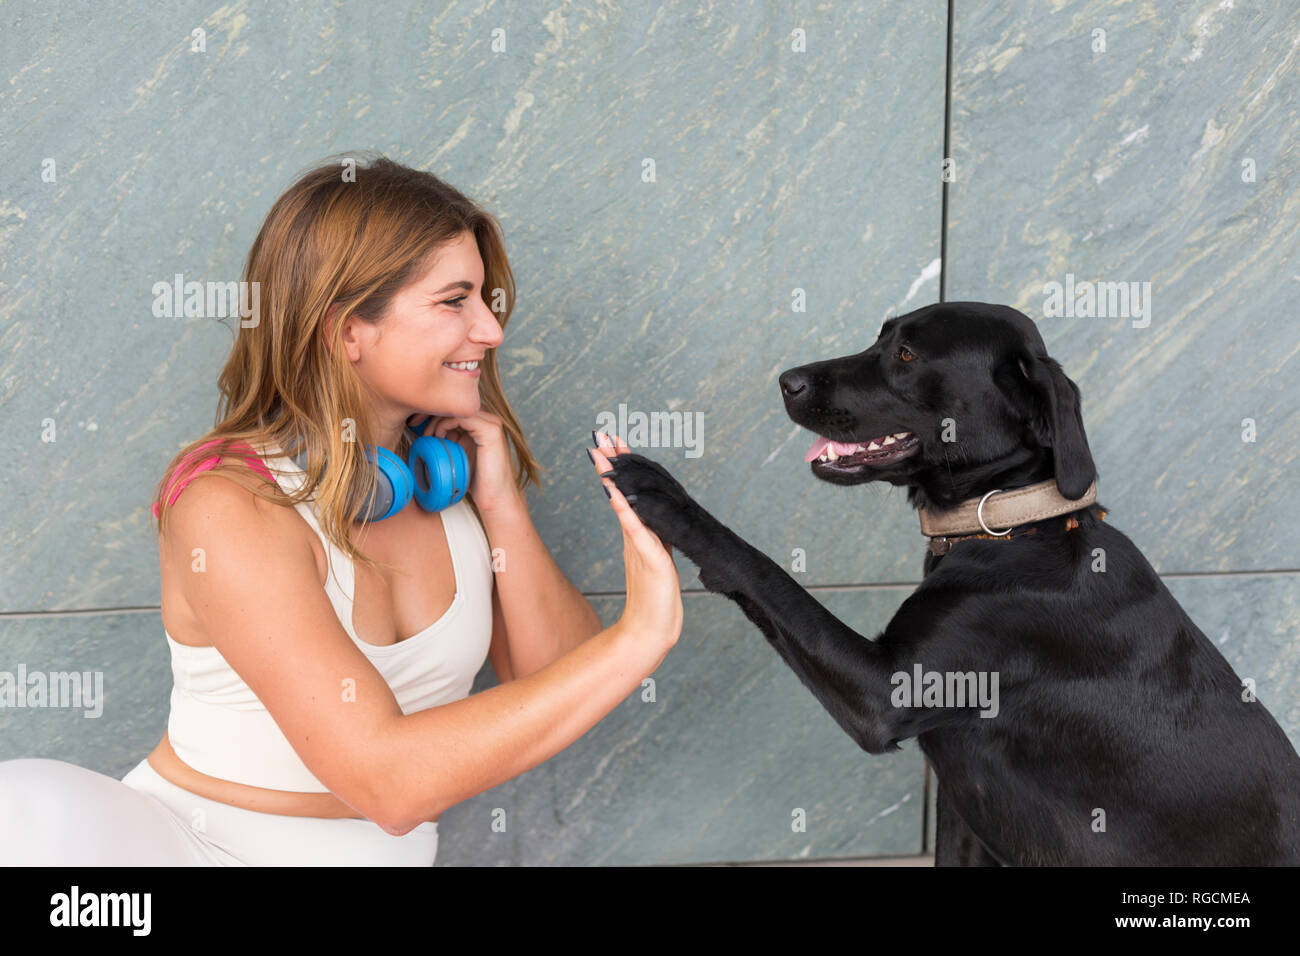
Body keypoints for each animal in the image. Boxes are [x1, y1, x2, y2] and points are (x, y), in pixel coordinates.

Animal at [603, 300, 1300, 868]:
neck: (1008, 525)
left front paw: (668, 499)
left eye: (907, 355)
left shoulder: (884, 692)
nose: (786, 380)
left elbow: (767, 573)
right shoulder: (964, 810)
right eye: (880, 337)